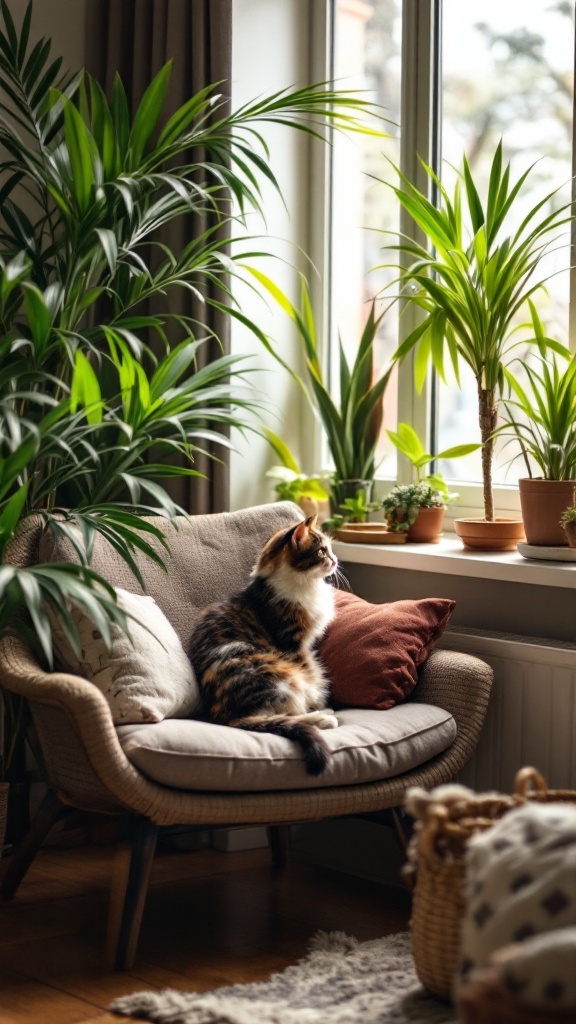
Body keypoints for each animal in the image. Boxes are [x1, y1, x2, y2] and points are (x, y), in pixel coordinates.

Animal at [188, 516, 338, 770]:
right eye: (321, 551)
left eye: (329, 549)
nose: (335, 559)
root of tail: (222, 715)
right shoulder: (294, 644)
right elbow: (314, 676)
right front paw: (319, 701)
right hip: (280, 675)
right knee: (277, 714)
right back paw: (323, 717)